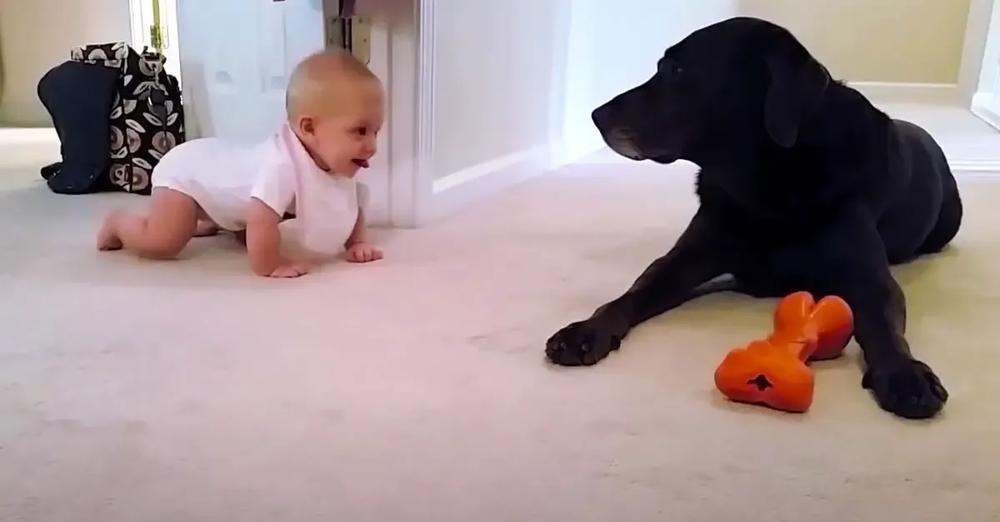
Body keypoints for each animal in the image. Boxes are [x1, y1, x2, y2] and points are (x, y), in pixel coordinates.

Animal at [548, 17, 960, 418]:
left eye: (676, 69)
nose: (596, 116)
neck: (765, 183)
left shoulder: (868, 276)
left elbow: (881, 325)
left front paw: (904, 373)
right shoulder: (686, 256)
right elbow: (634, 291)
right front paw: (586, 331)